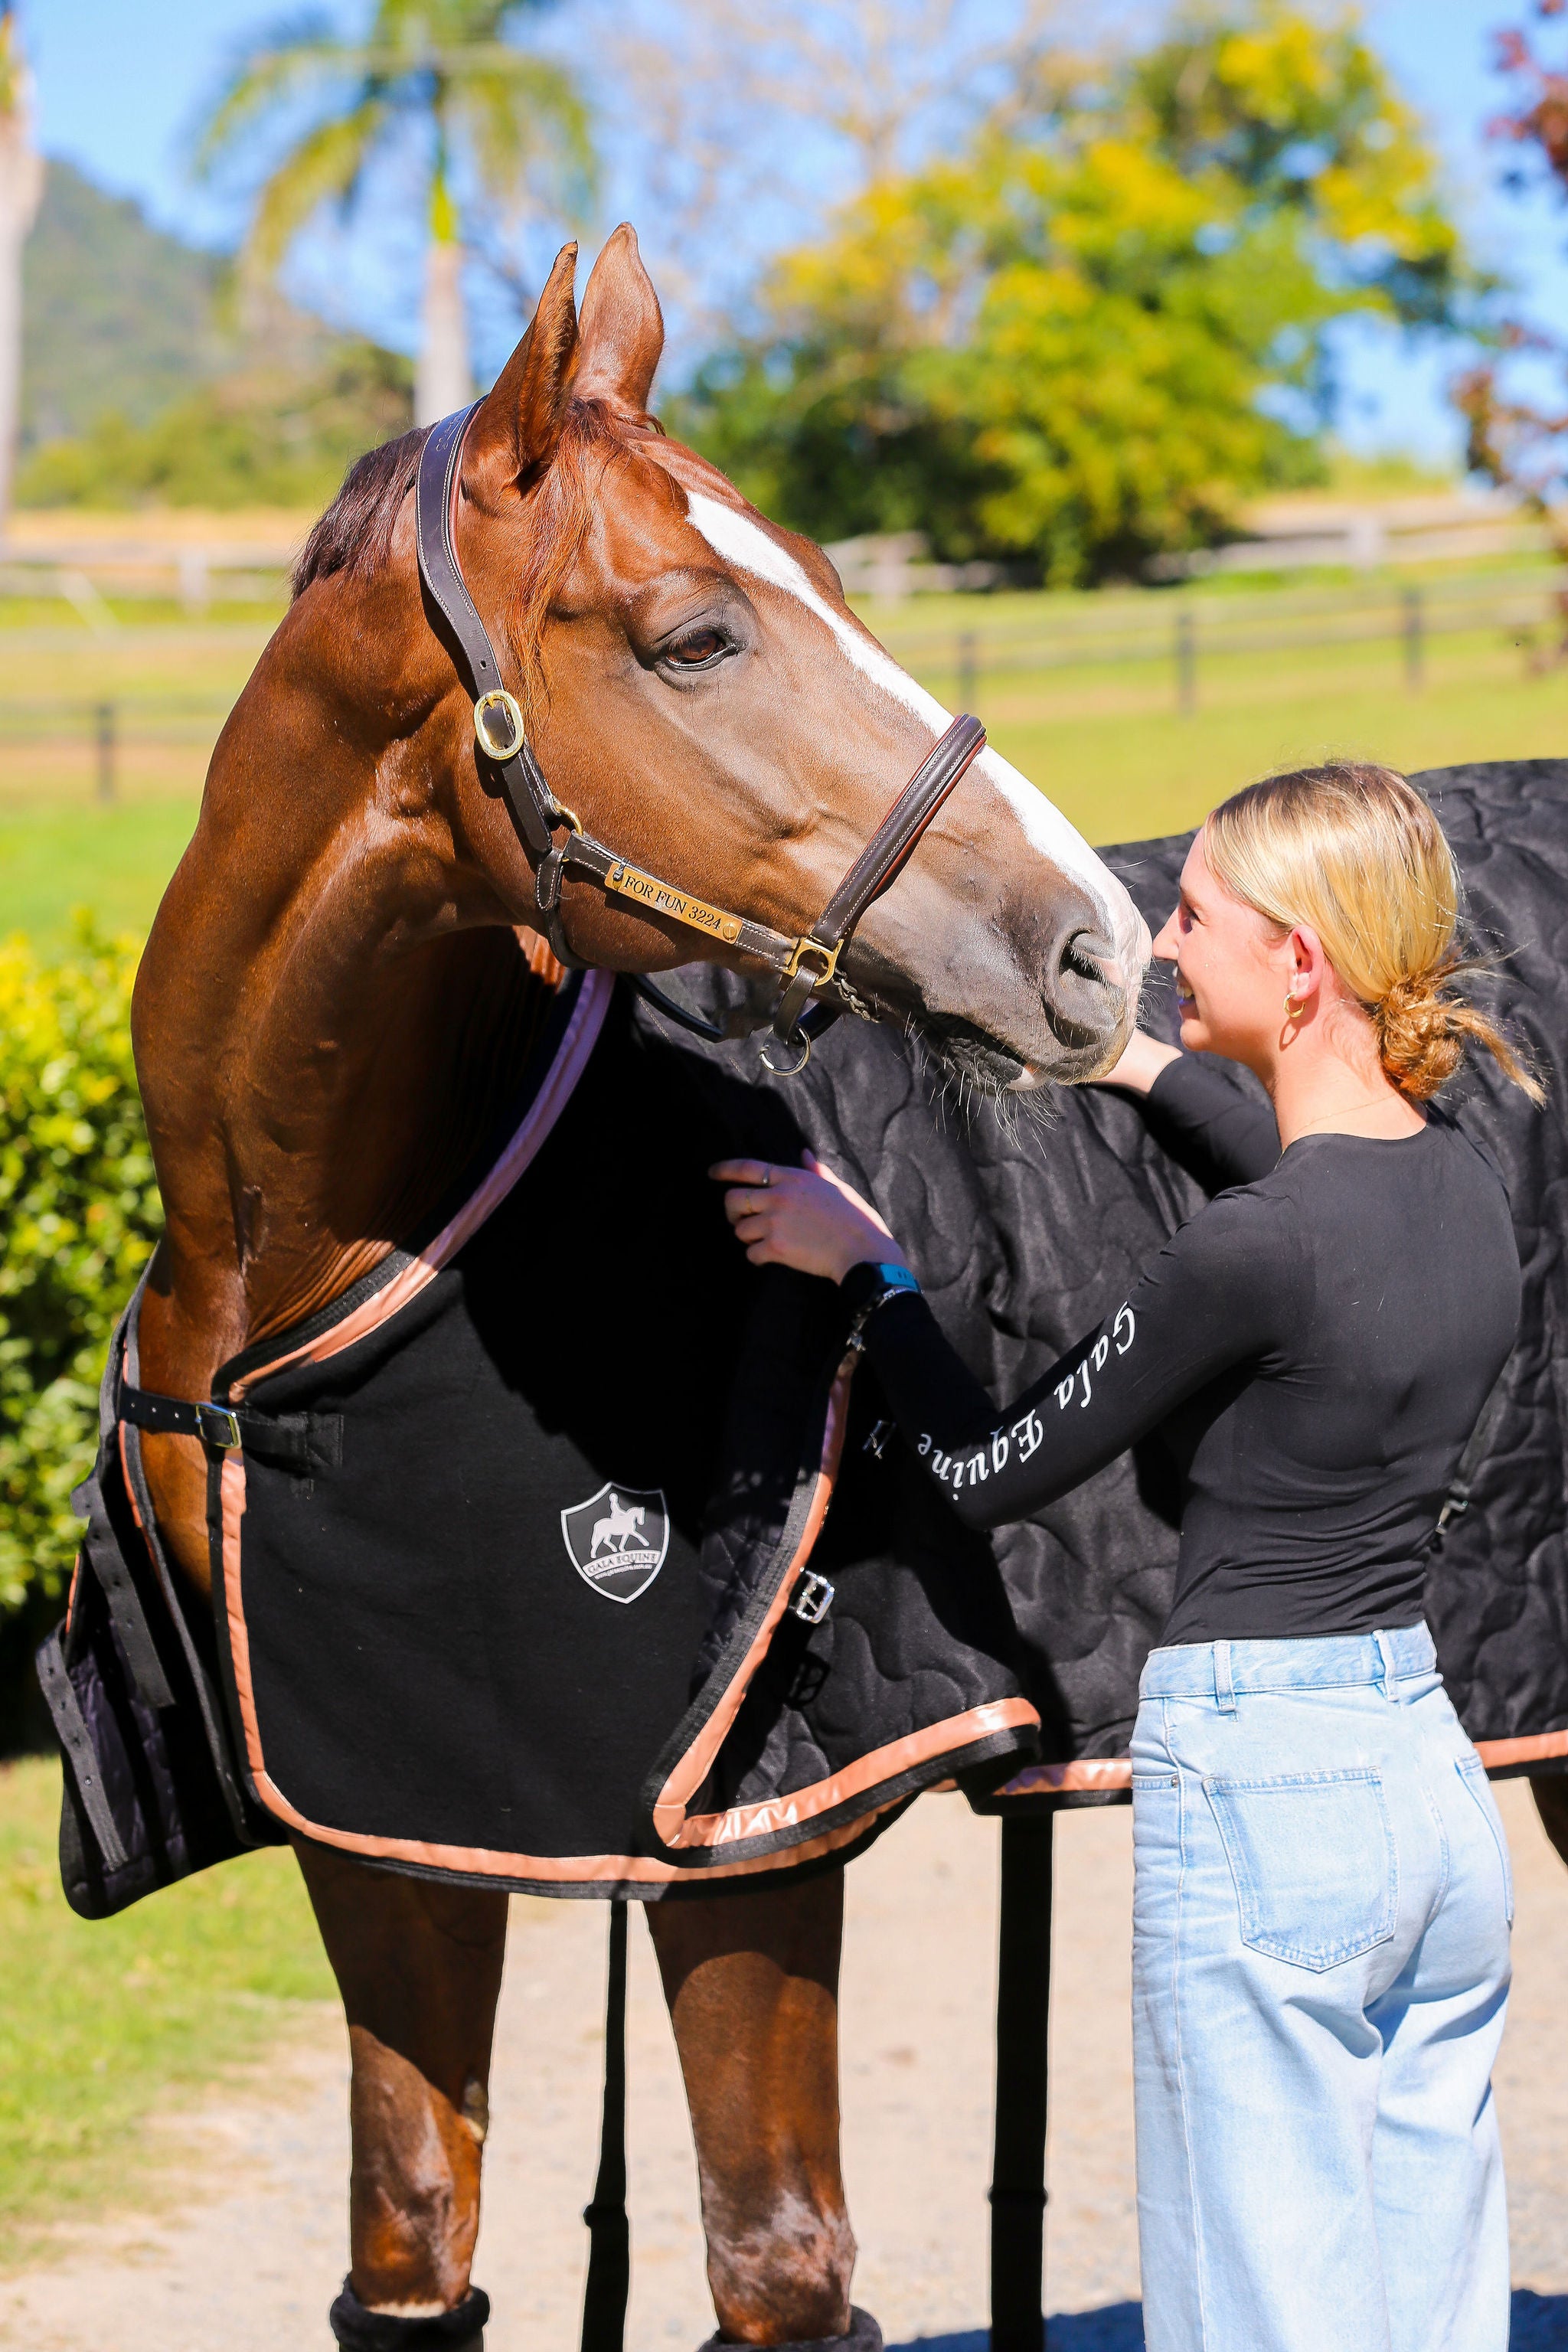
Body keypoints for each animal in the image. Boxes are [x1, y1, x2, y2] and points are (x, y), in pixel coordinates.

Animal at [126, 224, 1152, 2352]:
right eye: (694, 636)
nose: (1097, 948)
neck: (311, 1271)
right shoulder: (381, 1802)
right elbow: (411, 2235)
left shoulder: (742, 1833)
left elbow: (777, 2258)